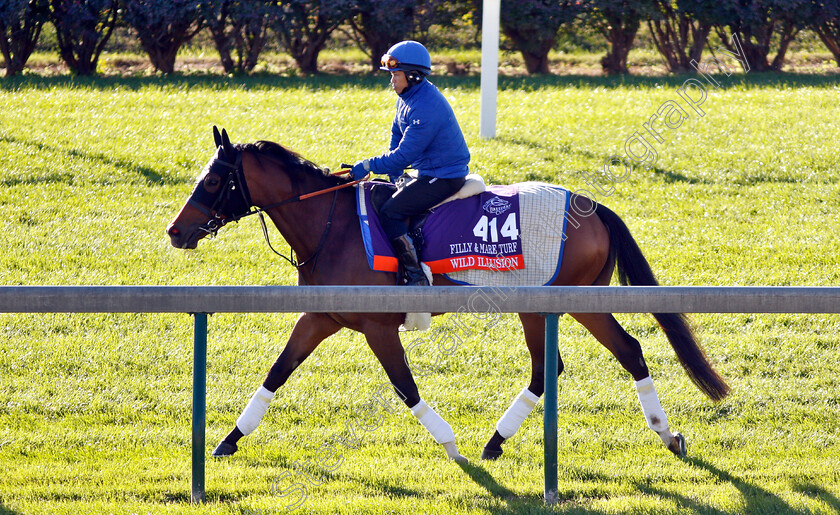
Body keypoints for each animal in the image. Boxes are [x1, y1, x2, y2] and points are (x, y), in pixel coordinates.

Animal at [166, 128, 728, 464]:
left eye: (213, 180)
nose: (175, 231)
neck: (332, 224)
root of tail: (593, 205)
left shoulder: (378, 326)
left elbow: (405, 386)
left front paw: (450, 444)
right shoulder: (320, 317)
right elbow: (276, 374)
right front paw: (227, 441)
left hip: (556, 302)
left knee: (592, 359)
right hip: (568, 302)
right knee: (587, 360)